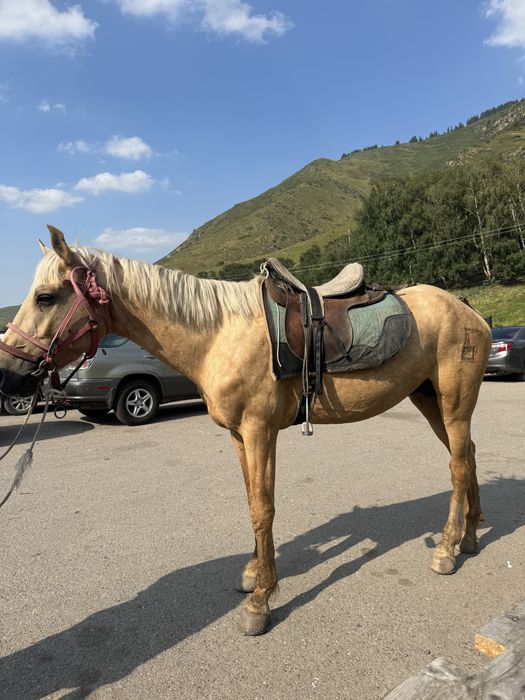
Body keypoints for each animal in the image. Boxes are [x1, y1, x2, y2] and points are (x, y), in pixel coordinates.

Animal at [0, 226, 492, 635]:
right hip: (430, 400)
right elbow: (252, 502)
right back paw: (469, 537)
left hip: (453, 402)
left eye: (45, 297)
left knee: (456, 467)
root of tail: (469, 311)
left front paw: (260, 602)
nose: (8, 373)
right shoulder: (240, 436)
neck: (219, 333)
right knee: (467, 456)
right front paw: (256, 575)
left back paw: (446, 549)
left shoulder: (259, 432)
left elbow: (263, 509)